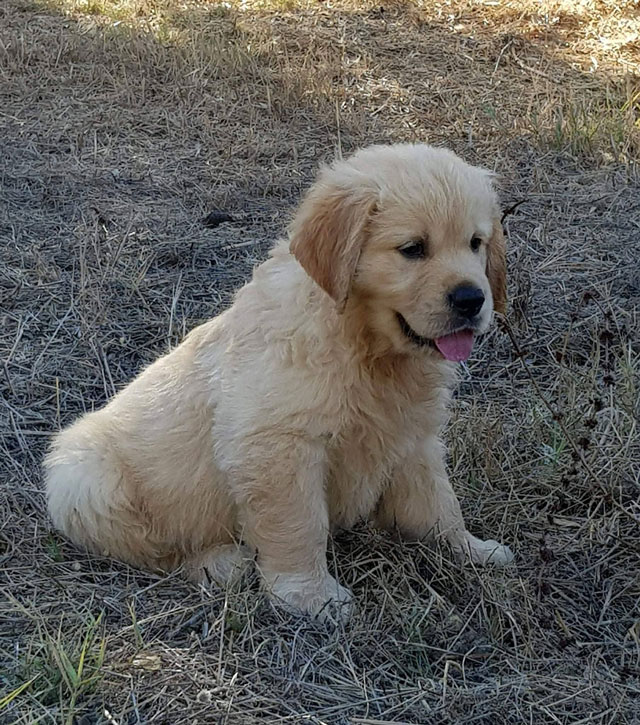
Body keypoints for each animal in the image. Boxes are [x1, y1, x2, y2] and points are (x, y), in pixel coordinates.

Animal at [43, 144, 516, 620]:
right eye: (413, 249)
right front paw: (310, 596)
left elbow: (438, 503)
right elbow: (299, 524)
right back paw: (220, 563)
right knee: (159, 552)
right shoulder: (277, 446)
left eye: (475, 243)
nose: (472, 299)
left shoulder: (413, 436)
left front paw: (470, 550)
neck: (365, 346)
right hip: (83, 482)